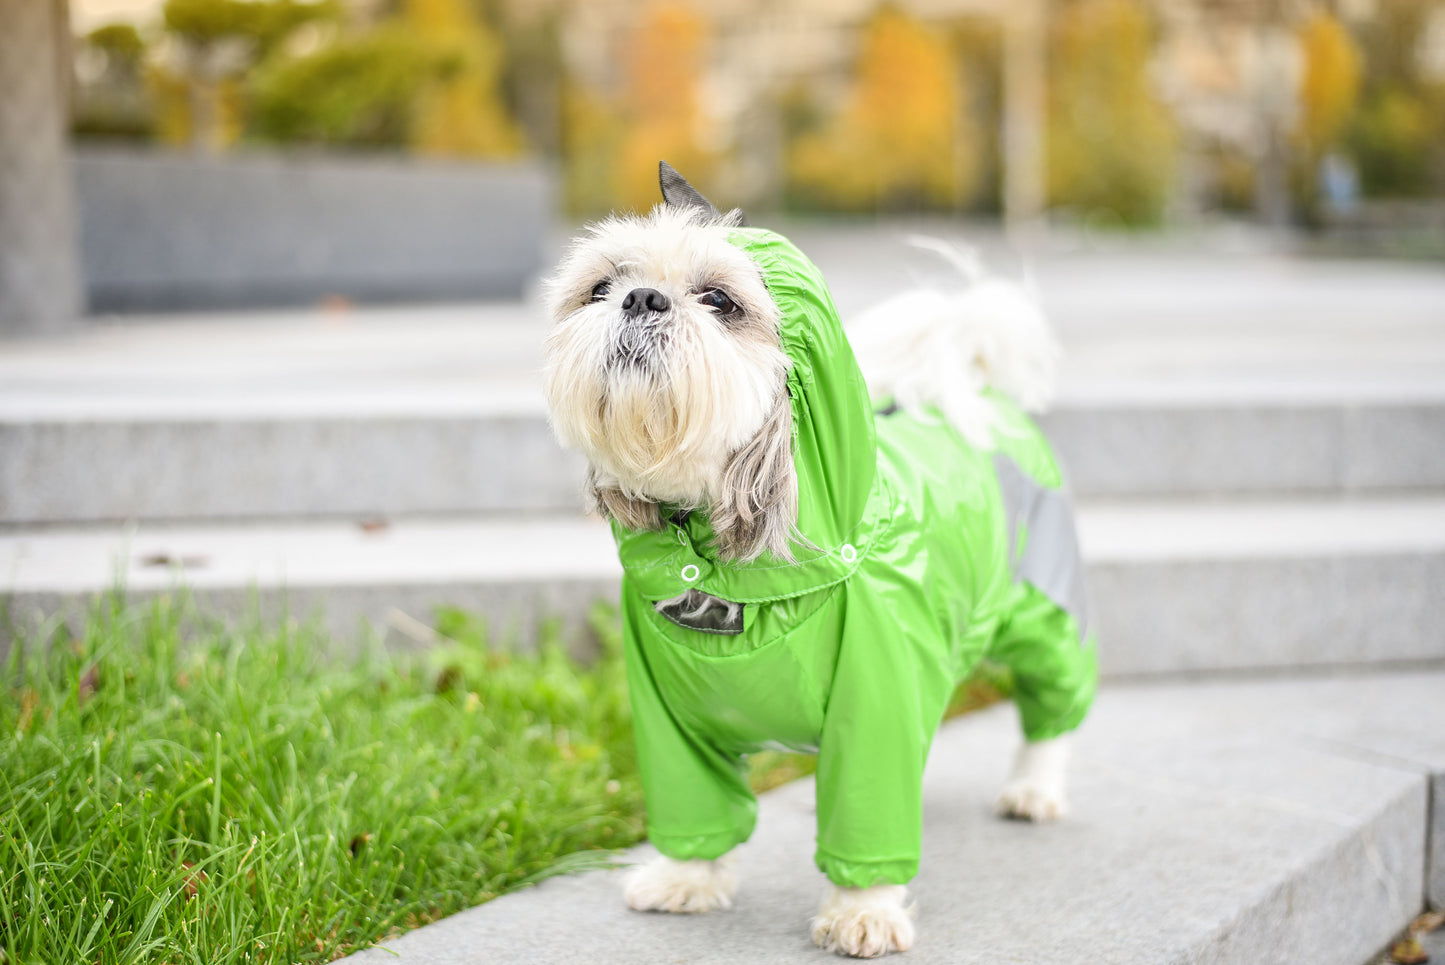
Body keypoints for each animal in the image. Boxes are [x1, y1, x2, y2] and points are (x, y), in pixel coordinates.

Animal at [543, 166, 1092, 959]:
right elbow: (697, 804)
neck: (733, 574)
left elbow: (868, 810)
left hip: (1042, 610)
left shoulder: (876, 698)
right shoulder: (668, 720)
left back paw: (1035, 786)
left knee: (1053, 701)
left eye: (720, 300)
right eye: (599, 287)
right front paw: (686, 877)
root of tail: (974, 390)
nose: (641, 298)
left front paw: (863, 910)